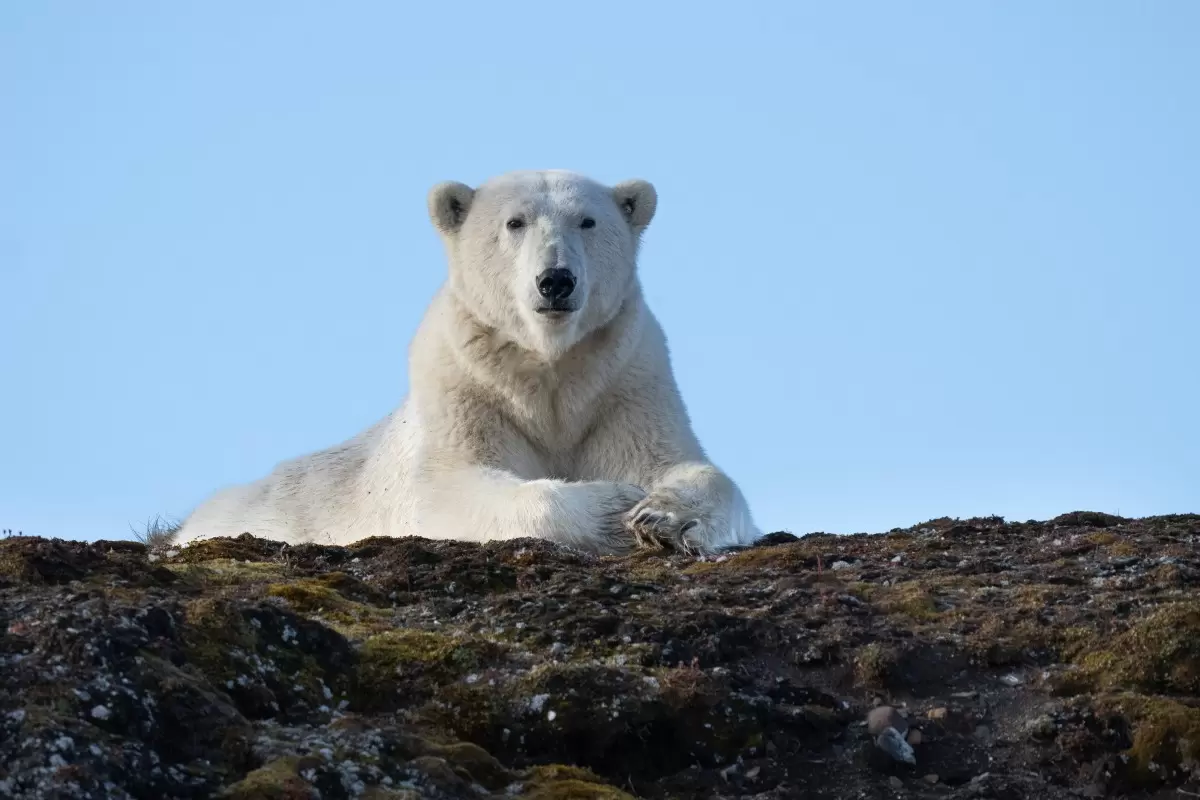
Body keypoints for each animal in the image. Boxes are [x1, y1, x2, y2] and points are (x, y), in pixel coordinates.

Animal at [177, 169, 758, 556]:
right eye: (514, 222)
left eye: (588, 221)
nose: (556, 280)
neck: (549, 369)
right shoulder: (468, 390)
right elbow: (456, 488)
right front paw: (612, 507)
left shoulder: (621, 382)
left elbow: (675, 462)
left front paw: (663, 516)